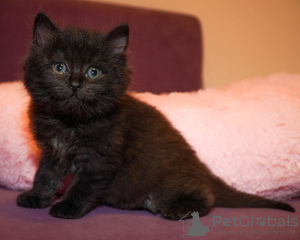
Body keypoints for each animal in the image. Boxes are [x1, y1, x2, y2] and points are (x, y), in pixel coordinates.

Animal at [16, 13, 292, 219]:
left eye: (93, 72)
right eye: (59, 67)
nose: (74, 84)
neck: (70, 121)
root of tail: (200, 168)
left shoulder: (100, 159)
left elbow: (82, 186)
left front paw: (67, 207)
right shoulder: (51, 151)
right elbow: (45, 175)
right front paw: (36, 197)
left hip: (164, 187)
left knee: (207, 196)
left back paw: (180, 209)